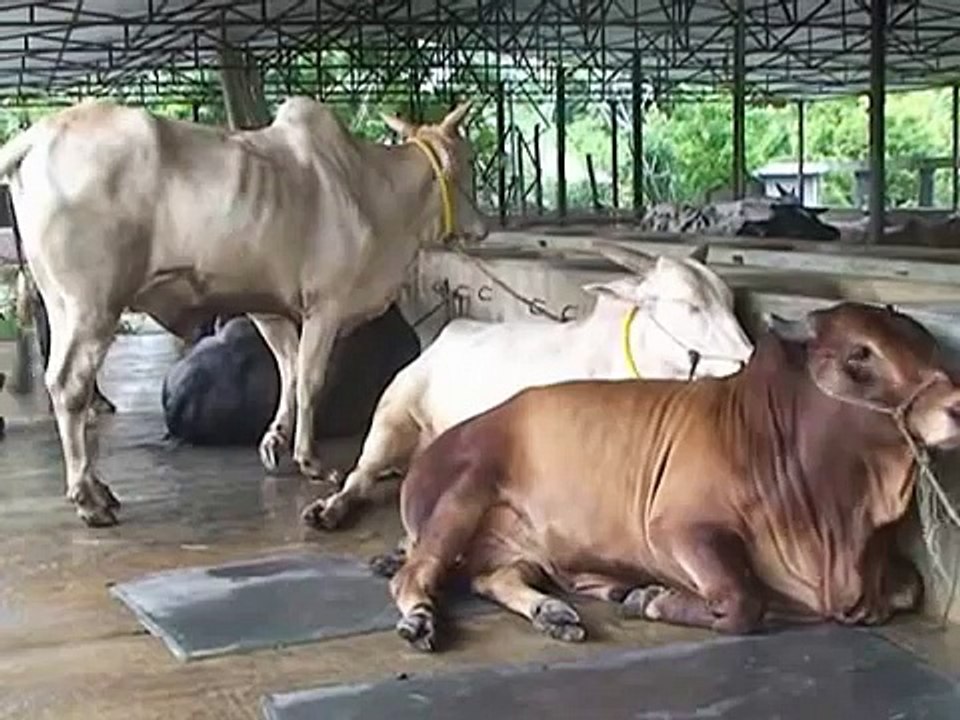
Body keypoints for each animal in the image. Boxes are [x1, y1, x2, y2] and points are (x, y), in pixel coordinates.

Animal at [303, 240, 754, 530]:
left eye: (729, 300)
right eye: (690, 305)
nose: (750, 357)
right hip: (391, 417)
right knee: (359, 476)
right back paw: (328, 509)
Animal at [383, 302, 960, 652]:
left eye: (928, 345)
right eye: (860, 354)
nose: (954, 405)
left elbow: (907, 588)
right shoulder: (678, 529)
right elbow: (743, 600)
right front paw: (650, 598)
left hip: (521, 546)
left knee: (493, 578)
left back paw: (554, 611)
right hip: (463, 495)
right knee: (414, 574)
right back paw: (420, 618)